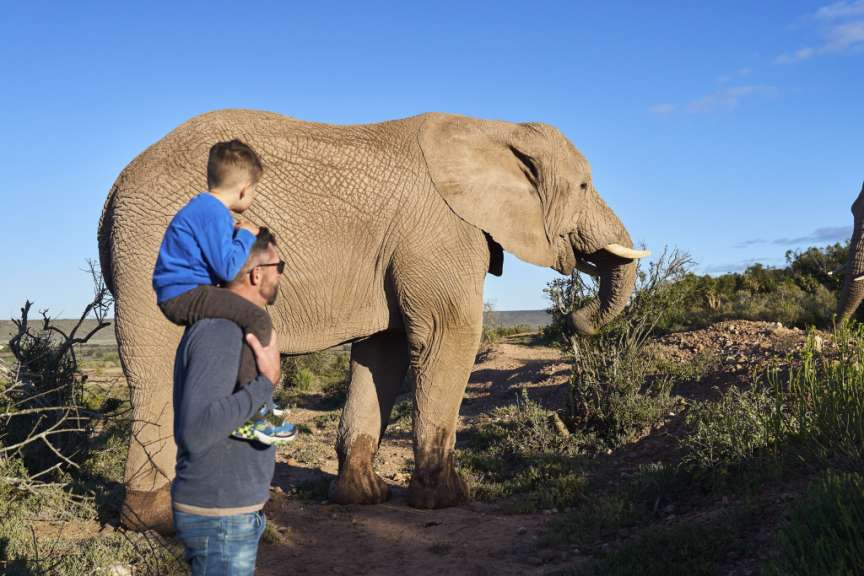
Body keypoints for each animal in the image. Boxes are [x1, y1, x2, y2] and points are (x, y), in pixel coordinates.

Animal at [97, 109, 649, 532]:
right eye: (584, 185)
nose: (574, 320)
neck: (491, 129)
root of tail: (115, 190)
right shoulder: (442, 230)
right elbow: (449, 334)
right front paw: (449, 499)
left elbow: (385, 348)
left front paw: (363, 498)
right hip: (153, 250)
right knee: (157, 370)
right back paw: (160, 522)